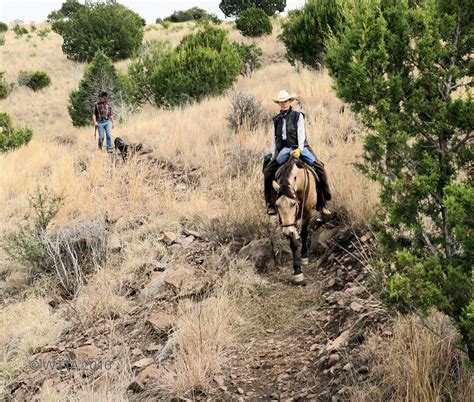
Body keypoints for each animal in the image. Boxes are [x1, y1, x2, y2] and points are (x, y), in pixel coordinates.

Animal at [272, 157, 316, 286]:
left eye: (293, 204)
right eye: (277, 205)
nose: (287, 232)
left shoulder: (308, 213)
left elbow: (304, 233)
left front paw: (304, 256)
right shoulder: (289, 223)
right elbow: (293, 243)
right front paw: (297, 272)